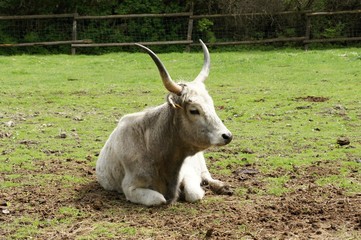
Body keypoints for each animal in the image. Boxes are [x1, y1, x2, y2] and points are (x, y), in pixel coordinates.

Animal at [95, 39, 232, 206]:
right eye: (194, 110)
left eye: (211, 104)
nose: (227, 136)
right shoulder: (131, 188)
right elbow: (159, 199)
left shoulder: (189, 172)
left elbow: (193, 194)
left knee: (207, 176)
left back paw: (221, 186)